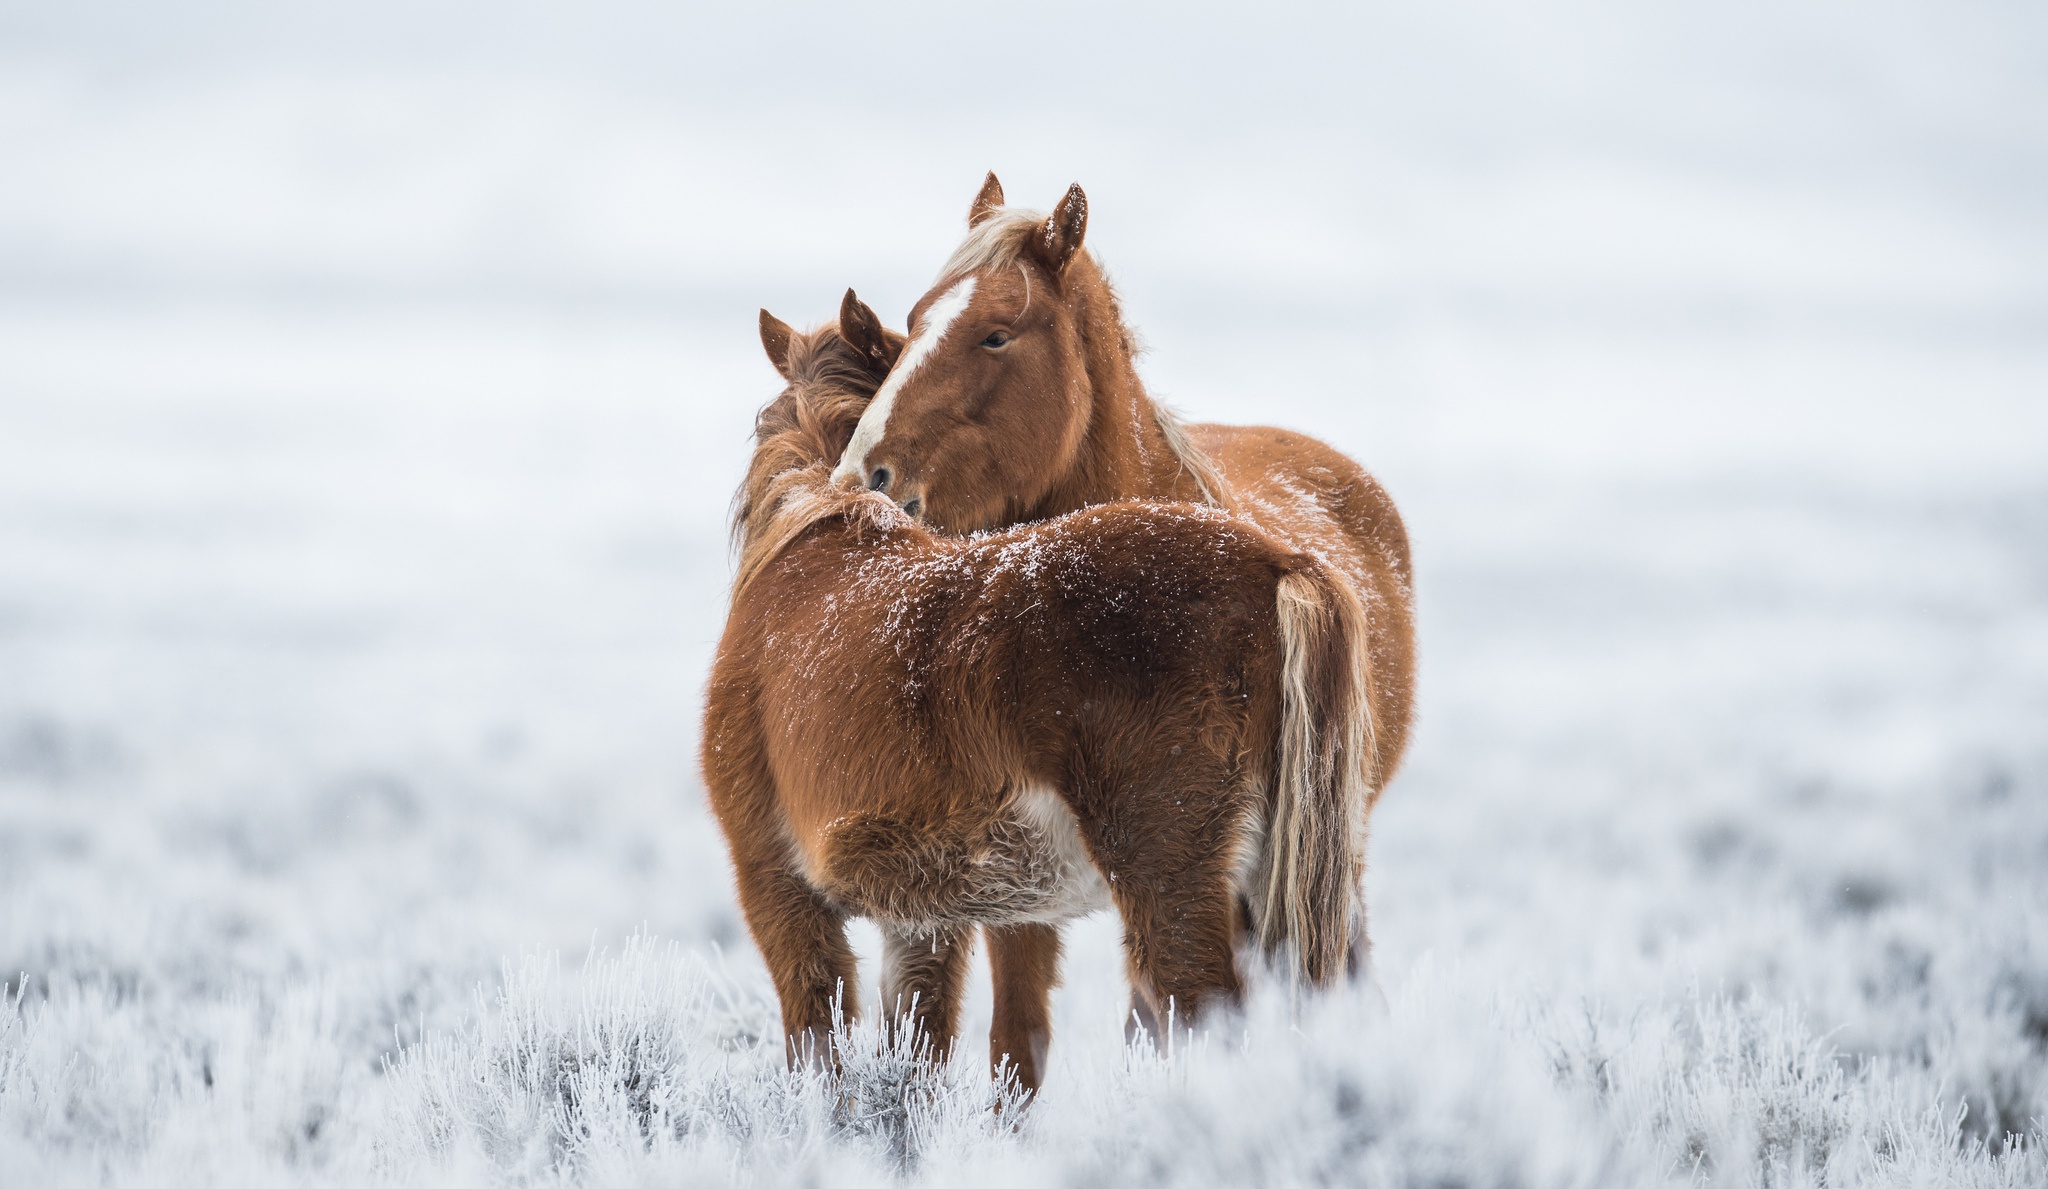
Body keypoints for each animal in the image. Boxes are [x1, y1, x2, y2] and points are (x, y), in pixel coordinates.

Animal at [704, 302, 1376, 1096]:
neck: (810, 534)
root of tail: (1279, 560)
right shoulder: (925, 920)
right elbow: (916, 1050)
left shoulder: (778, 889)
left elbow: (820, 1046)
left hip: (1175, 884)